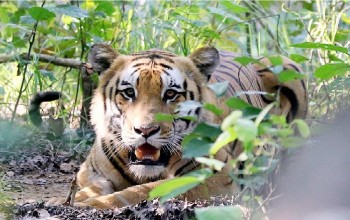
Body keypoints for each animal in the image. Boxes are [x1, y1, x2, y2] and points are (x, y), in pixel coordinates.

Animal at [44, 43, 308, 209]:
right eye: (129, 92)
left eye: (170, 94)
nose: (145, 131)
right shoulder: (90, 171)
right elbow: (90, 187)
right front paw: (63, 201)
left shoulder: (213, 178)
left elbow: (143, 191)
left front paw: (88, 204)